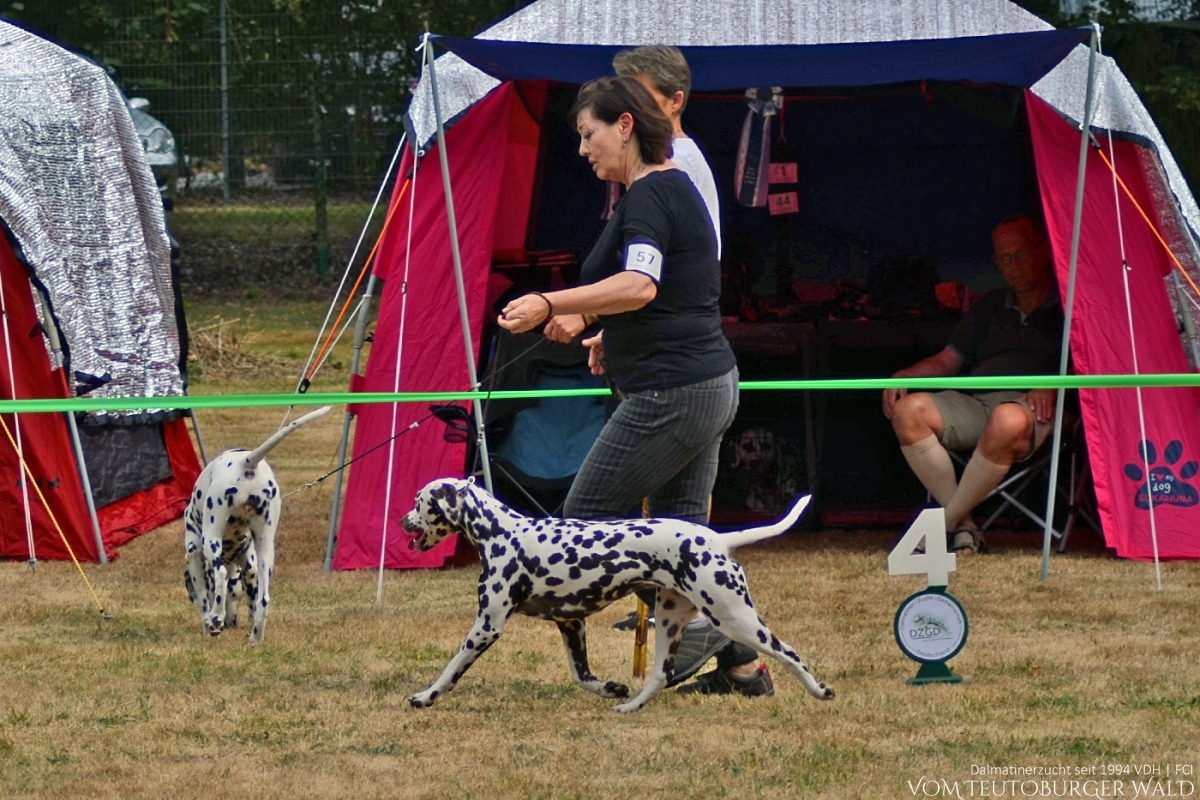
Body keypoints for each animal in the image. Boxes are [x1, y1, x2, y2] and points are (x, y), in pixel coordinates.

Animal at [180, 407, 328, 642]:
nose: (230, 623)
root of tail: (246, 461)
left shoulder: (194, 555)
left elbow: (204, 598)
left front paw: (209, 624)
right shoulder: (249, 566)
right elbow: (250, 602)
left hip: (210, 539)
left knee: (221, 574)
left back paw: (216, 618)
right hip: (265, 550)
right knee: (264, 599)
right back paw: (255, 638)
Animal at [403, 474, 835, 714]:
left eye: (420, 501)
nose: (404, 519)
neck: (503, 532)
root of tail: (718, 539)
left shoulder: (486, 626)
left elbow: (451, 669)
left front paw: (425, 696)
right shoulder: (571, 623)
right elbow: (582, 676)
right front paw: (611, 688)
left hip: (736, 618)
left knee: (789, 652)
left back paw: (820, 690)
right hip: (669, 622)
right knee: (659, 676)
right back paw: (629, 706)